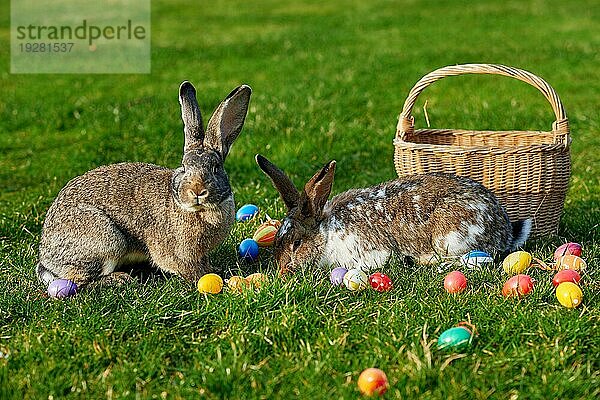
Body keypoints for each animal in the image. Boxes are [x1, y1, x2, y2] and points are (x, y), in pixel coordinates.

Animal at [255, 155, 532, 274]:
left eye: (297, 243)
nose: (283, 270)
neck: (325, 233)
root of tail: (505, 231)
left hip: (451, 238)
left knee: (478, 259)